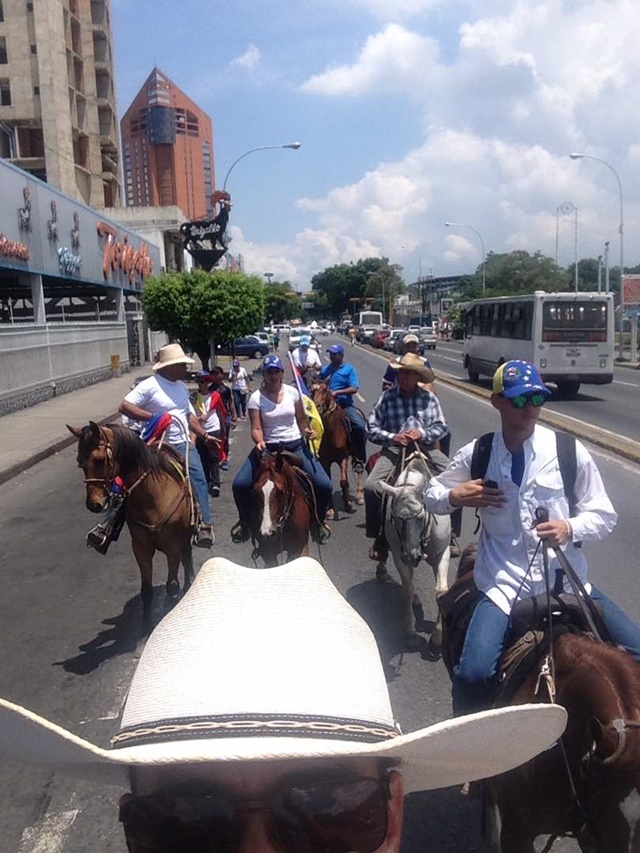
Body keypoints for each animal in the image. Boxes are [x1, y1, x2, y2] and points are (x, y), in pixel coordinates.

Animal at [67, 420, 195, 624]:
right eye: (80, 463)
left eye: (99, 460)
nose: (93, 504)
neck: (153, 497)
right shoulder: (141, 548)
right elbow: (146, 590)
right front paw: (146, 625)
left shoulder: (173, 548)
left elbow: (172, 585)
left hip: (184, 540)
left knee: (186, 560)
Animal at [312, 382, 362, 516]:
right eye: (312, 390)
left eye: (325, 389)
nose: (317, 406)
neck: (331, 433)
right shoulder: (325, 461)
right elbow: (330, 483)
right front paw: (329, 509)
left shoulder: (343, 458)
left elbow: (343, 482)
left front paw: (348, 505)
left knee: (359, 469)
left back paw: (359, 496)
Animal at [380, 456, 450, 648]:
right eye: (396, 518)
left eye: (420, 517)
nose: (412, 555)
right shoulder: (399, 557)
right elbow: (408, 589)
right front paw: (410, 631)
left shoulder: (443, 553)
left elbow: (441, 591)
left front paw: (438, 636)